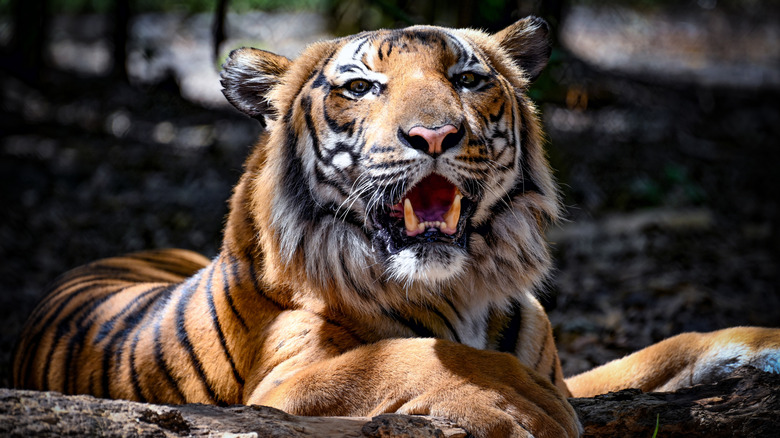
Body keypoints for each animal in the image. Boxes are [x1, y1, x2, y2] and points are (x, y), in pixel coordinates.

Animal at [12, 16, 780, 438]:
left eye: (469, 80)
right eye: (359, 88)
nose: (434, 135)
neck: (465, 290)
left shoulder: (563, 367)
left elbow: (648, 355)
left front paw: (761, 343)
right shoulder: (277, 391)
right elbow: (397, 359)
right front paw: (516, 405)